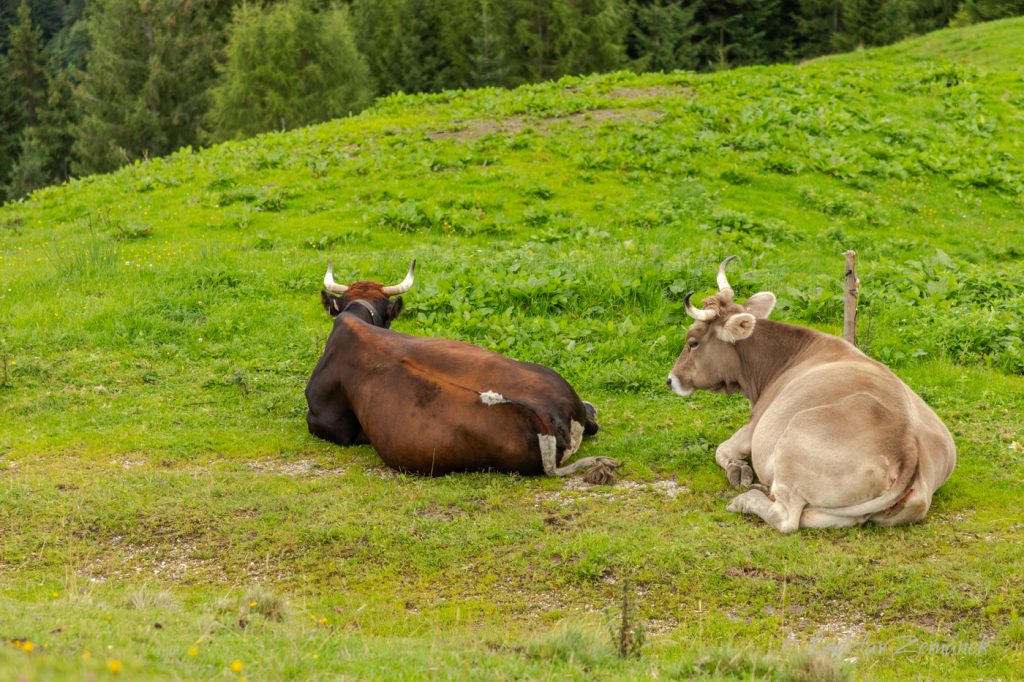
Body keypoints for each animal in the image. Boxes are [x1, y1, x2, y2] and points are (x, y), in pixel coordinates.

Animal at [667, 256, 954, 532]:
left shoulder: (754, 426)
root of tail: (906, 448)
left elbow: (722, 449)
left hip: (789, 451)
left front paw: (738, 471)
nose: (671, 379)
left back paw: (745, 500)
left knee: (785, 518)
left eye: (692, 342)